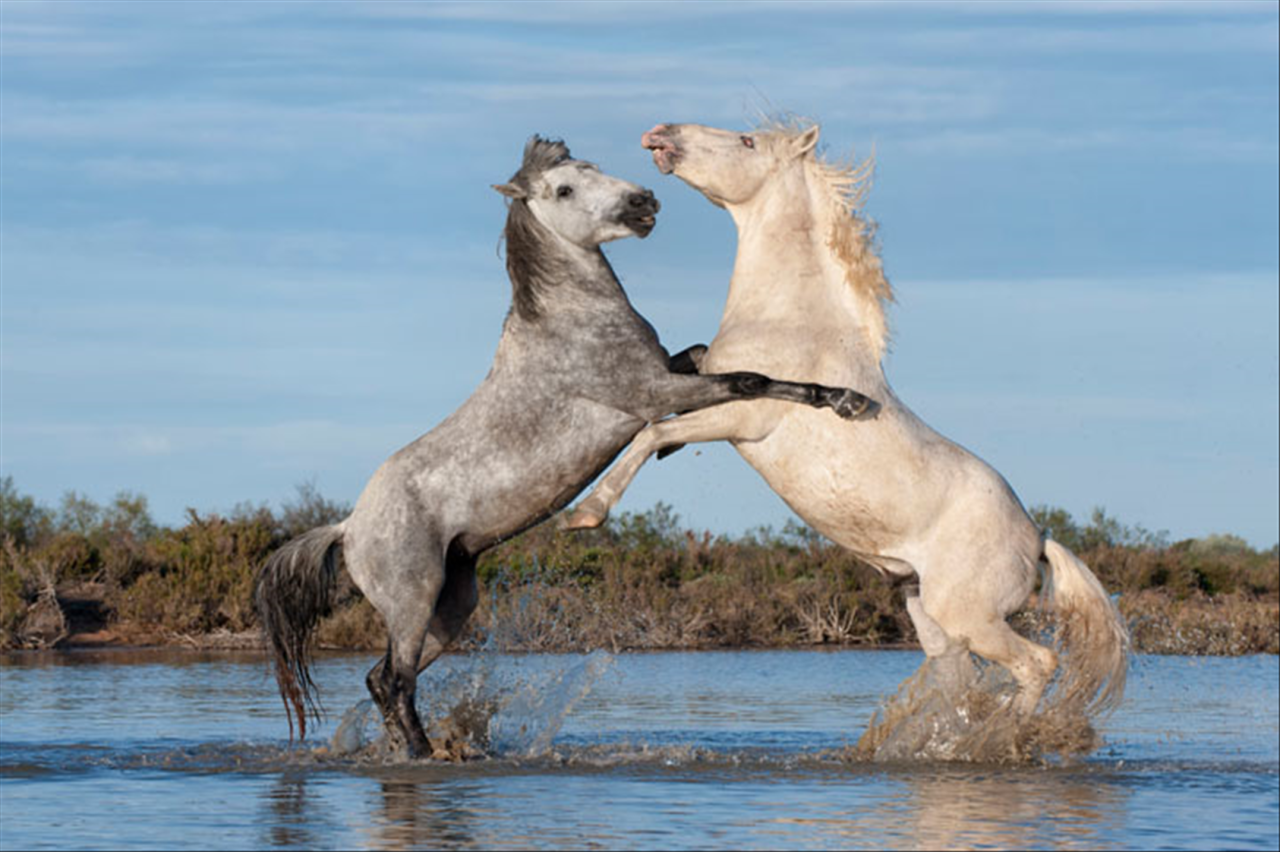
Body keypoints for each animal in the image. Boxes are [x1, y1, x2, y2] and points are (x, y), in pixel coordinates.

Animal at [250, 136, 875, 757]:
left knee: (380, 679)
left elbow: (702, 355)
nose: (643, 201)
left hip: (451, 609)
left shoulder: (665, 376)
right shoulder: (652, 393)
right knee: (395, 681)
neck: (570, 321)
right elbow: (748, 379)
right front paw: (846, 400)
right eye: (566, 190)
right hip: (412, 600)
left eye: (592, 168)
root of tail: (348, 527)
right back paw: (425, 754)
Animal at [565, 117, 1126, 716]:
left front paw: (585, 514)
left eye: (746, 141)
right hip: (933, 618)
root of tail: (1037, 539)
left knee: (1036, 663)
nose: (660, 133)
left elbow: (653, 431)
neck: (789, 321)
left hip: (971, 618)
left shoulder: (740, 420)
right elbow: (672, 396)